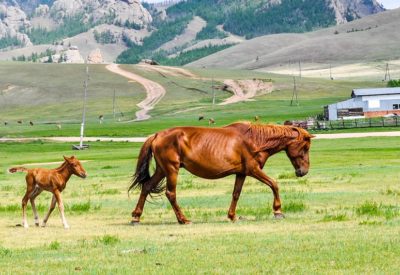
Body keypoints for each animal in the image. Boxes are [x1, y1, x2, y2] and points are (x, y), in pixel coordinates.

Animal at [130, 122, 314, 224]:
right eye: (305, 148)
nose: (303, 171)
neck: (255, 140)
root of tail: (157, 135)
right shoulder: (254, 170)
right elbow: (274, 184)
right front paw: (278, 211)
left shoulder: (242, 173)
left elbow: (236, 194)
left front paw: (232, 216)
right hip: (171, 170)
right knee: (171, 193)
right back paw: (183, 219)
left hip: (162, 170)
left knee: (146, 187)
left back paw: (136, 218)